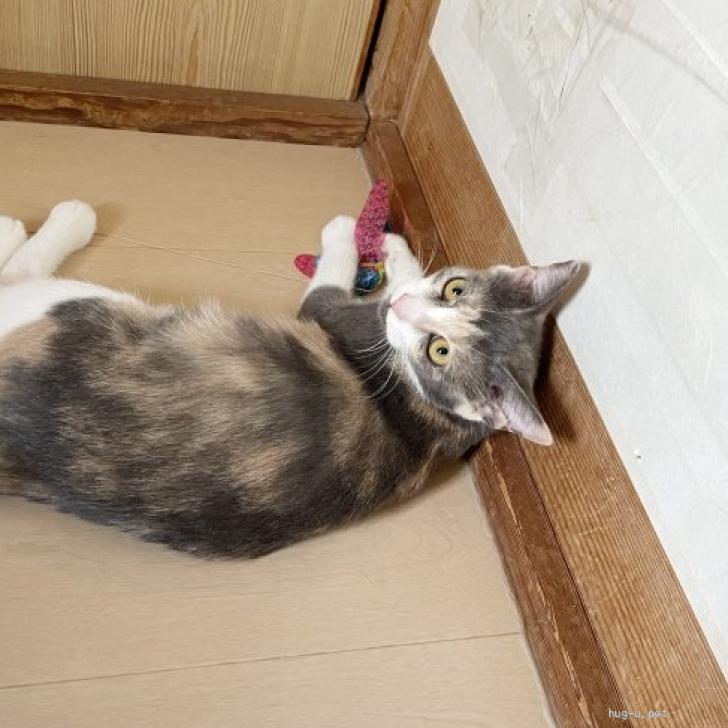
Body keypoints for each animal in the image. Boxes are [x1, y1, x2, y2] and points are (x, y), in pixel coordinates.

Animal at [0, 200, 579, 557]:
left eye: (438, 352)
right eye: (455, 289)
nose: (402, 307)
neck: (434, 412)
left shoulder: (332, 314)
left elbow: (330, 278)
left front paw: (345, 234)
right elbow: (408, 271)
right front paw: (397, 250)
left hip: (68, 307)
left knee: (17, 275)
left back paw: (43, 222)